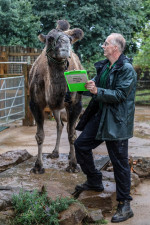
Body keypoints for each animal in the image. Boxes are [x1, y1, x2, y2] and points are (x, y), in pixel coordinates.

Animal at [28, 19, 84, 174]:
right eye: (50, 39)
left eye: (70, 39)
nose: (64, 47)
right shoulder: (35, 103)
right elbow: (40, 135)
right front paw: (38, 166)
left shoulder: (75, 104)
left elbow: (72, 134)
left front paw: (73, 165)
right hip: (55, 107)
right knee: (60, 125)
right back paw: (55, 152)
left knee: (70, 127)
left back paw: (70, 155)